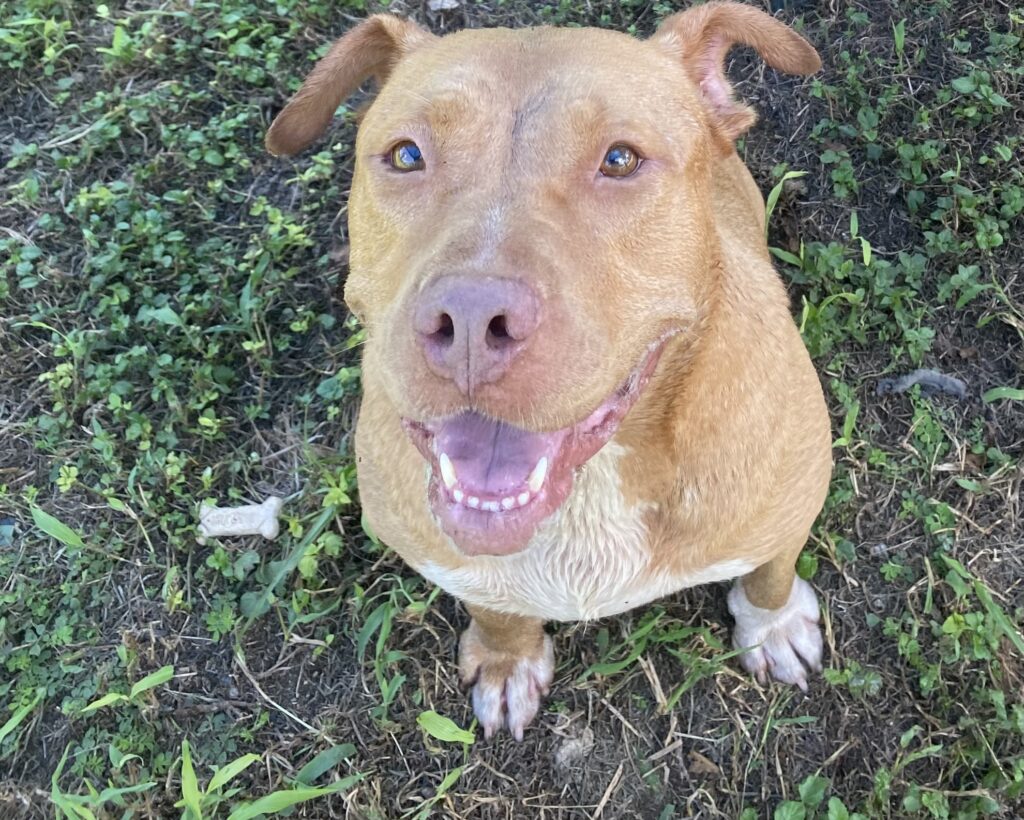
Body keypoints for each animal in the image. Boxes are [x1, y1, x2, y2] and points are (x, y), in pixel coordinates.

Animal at [267, 1, 831, 740]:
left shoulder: (792, 506)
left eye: (620, 159)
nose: (470, 318)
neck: (589, 492)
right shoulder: (453, 558)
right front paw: (507, 657)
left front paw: (773, 624)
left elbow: (770, 573)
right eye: (406, 155)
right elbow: (493, 605)